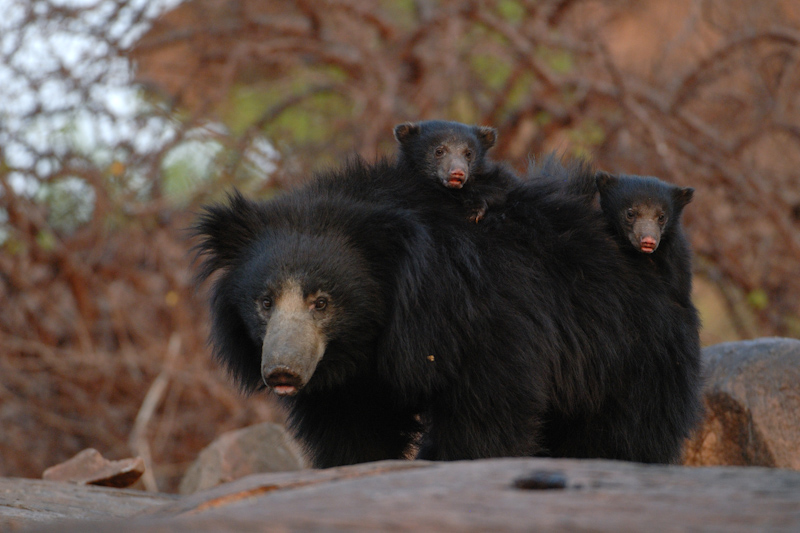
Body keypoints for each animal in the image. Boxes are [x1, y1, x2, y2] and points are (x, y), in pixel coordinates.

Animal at [192, 156, 700, 468]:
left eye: (322, 302)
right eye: (264, 302)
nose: (282, 371)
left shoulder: (485, 318)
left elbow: (488, 411)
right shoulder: (350, 381)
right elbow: (351, 431)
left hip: (630, 351)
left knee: (625, 433)